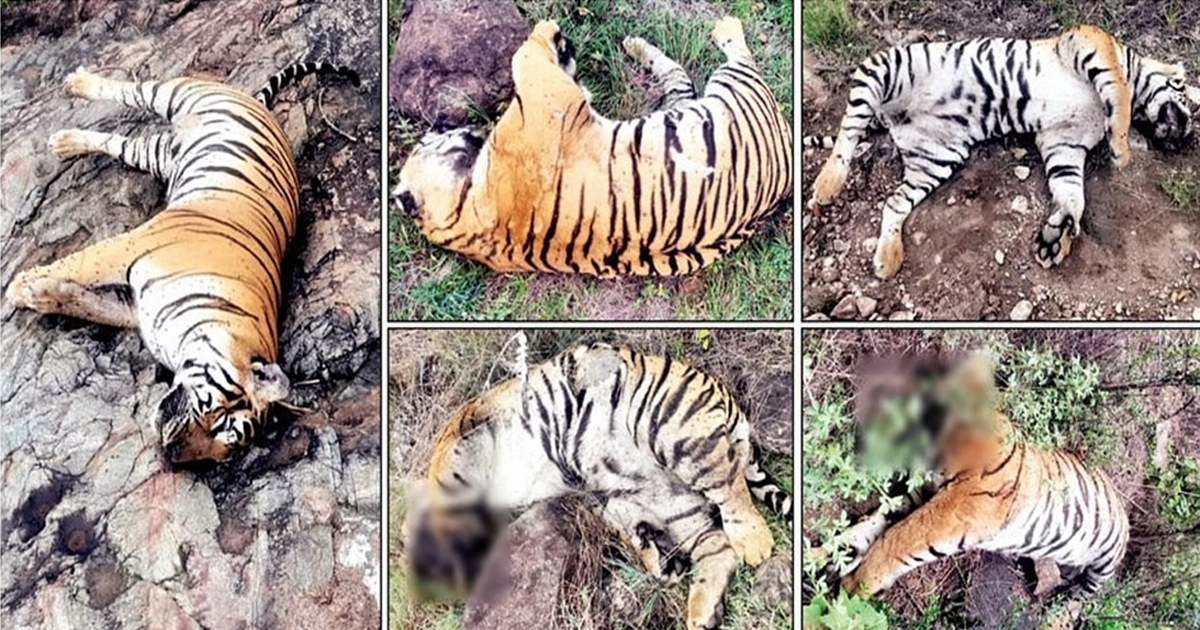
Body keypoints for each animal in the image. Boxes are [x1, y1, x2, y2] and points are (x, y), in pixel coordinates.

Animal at [4, 61, 359, 465]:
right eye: (219, 419)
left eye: (222, 452)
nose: (171, 452)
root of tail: (259, 105)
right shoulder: (131, 246)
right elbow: (79, 264)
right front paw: (17, 287)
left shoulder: (134, 309)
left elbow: (84, 303)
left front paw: (38, 294)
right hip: (175, 94)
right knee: (131, 89)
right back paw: (77, 83)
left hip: (155, 154)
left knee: (120, 144)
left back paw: (65, 142)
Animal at [394, 17, 793, 276]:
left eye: (429, 137)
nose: (458, 127)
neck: (463, 217)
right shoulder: (550, 99)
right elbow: (525, 56)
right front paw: (549, 30)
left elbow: (538, 61)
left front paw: (561, 45)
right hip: (731, 90)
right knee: (738, 56)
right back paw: (723, 25)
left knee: (679, 75)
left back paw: (634, 44)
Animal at [406, 342, 793, 630]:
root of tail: (728, 399)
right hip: (662, 501)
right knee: (715, 547)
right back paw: (696, 606)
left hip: (673, 429)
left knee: (729, 486)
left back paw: (755, 544)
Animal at [804, 24, 1195, 279]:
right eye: (1191, 100)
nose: (1188, 137)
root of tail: (890, 119)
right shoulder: (1088, 41)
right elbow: (1118, 89)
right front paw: (1121, 148)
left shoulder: (1064, 143)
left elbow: (1072, 194)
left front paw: (1057, 238)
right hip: (888, 68)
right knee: (849, 128)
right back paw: (827, 185)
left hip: (936, 159)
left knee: (894, 203)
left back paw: (888, 260)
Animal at [819, 351, 1128, 604]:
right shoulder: (921, 494)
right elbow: (871, 526)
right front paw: (822, 557)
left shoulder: (958, 507)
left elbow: (897, 538)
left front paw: (856, 585)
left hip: (1104, 566)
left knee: (1083, 593)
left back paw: (1060, 605)